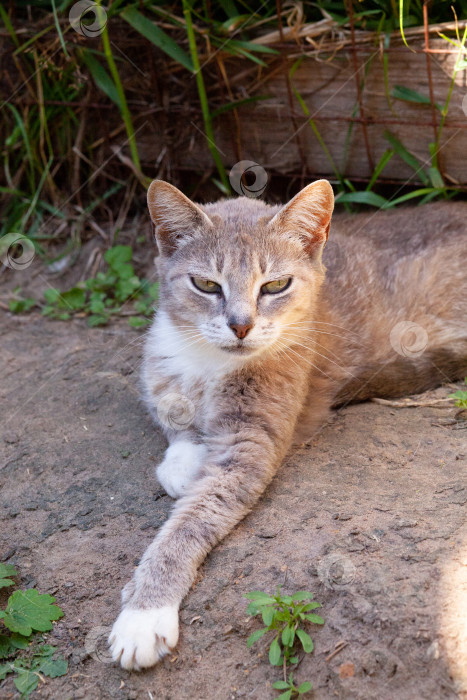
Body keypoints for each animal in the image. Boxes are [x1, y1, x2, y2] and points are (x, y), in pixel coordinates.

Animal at [108, 178, 466, 668]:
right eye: (206, 284)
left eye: (276, 285)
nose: (241, 326)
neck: (208, 361)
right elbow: (173, 416)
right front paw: (183, 460)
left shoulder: (251, 445)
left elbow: (191, 522)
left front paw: (145, 613)